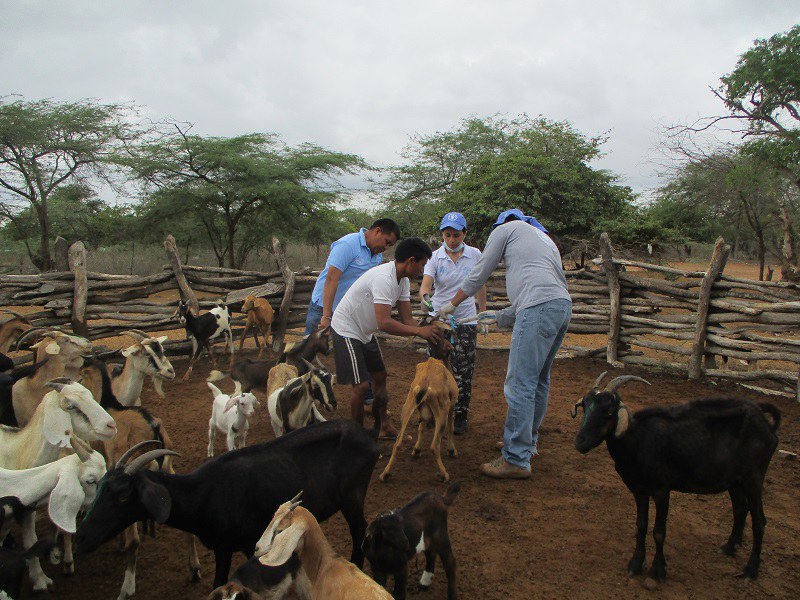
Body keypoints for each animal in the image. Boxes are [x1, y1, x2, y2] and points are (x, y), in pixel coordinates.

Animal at [76, 400, 384, 588]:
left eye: (123, 496)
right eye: (101, 487)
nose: (82, 537)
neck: (202, 493)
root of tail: (369, 435)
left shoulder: (233, 545)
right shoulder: (241, 543)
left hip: (352, 496)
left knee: (359, 530)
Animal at [572, 372, 784, 588]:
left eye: (608, 411)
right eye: (585, 406)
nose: (580, 442)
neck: (638, 440)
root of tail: (765, 422)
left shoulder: (661, 489)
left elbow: (659, 531)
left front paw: (656, 571)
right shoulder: (639, 490)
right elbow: (641, 525)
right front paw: (636, 564)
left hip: (754, 476)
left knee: (759, 521)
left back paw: (751, 569)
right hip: (734, 479)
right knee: (740, 508)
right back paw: (729, 547)